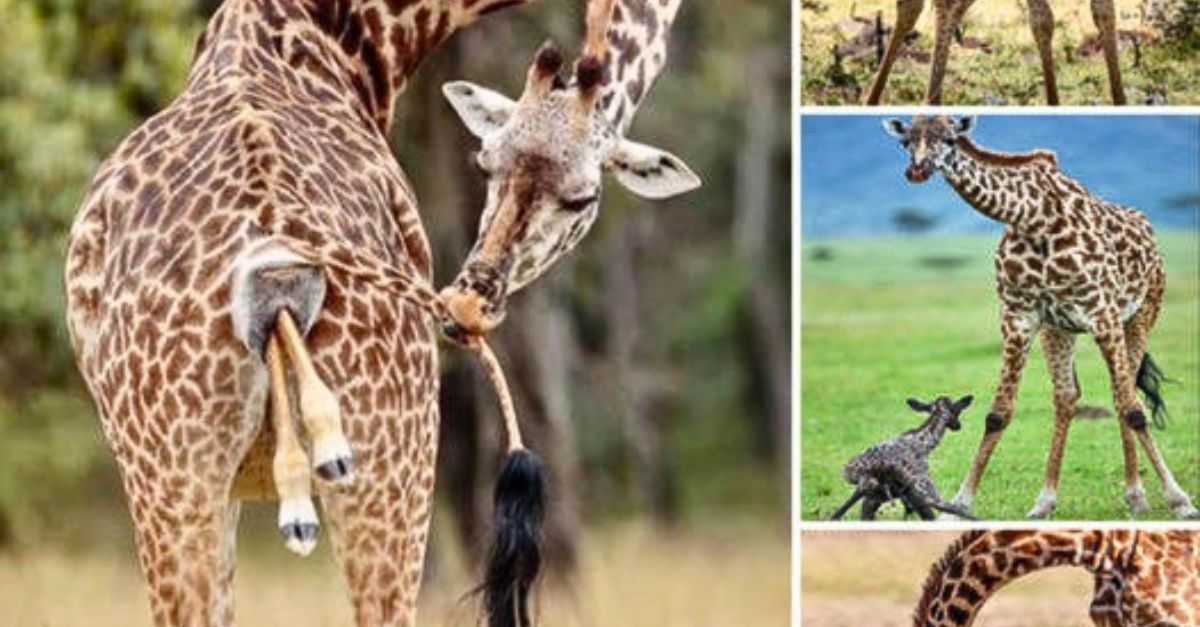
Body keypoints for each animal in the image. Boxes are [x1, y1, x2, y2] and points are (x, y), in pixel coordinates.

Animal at [835, 393, 974, 518]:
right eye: (958, 410)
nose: (958, 426)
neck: (926, 443)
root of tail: (848, 470)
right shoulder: (925, 490)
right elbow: (958, 510)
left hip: (871, 491)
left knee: (841, 512)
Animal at [883, 115, 1200, 516]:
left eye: (951, 139)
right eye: (905, 141)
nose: (917, 170)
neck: (1030, 216)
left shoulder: (1103, 313)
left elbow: (1132, 408)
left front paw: (1180, 501)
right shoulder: (1018, 316)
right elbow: (998, 413)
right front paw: (960, 502)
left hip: (1142, 313)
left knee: (1124, 396)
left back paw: (1137, 496)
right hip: (1059, 329)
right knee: (1067, 398)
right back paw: (1046, 500)